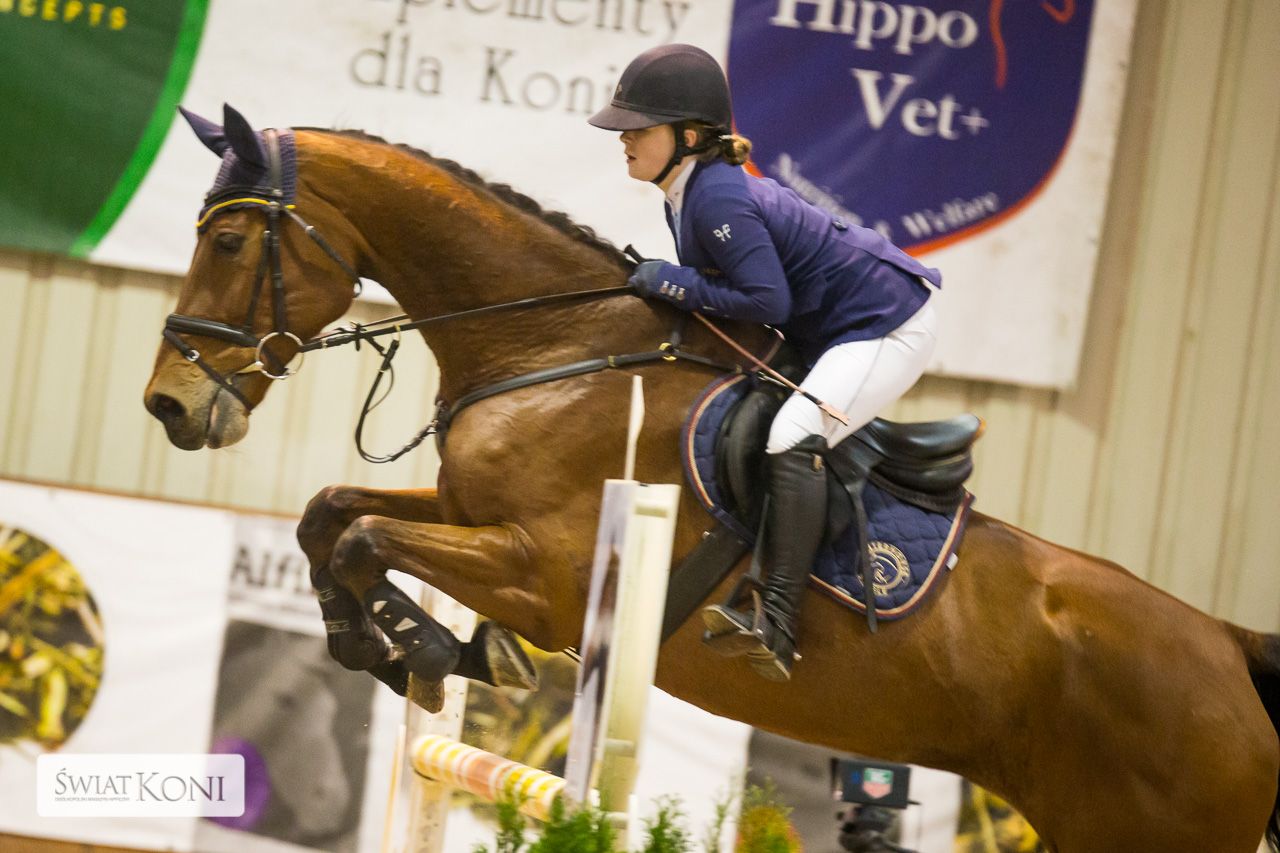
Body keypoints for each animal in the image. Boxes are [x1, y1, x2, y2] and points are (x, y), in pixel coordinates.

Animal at [143, 106, 1280, 852]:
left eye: (230, 238)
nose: (168, 405)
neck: (553, 352)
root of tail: (1227, 647)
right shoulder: (469, 517)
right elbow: (329, 516)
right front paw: (390, 645)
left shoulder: (548, 577)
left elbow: (364, 537)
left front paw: (434, 647)